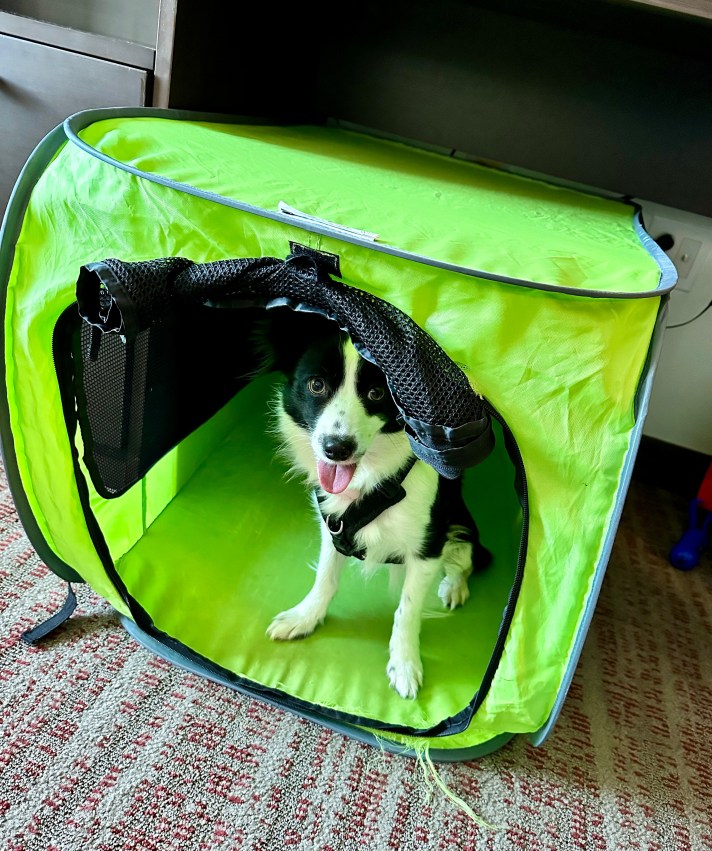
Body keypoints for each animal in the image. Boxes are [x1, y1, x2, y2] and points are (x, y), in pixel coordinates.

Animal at [263, 311, 490, 699]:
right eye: (316, 385)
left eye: (376, 393)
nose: (336, 448)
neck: (370, 481)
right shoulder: (333, 526)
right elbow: (325, 577)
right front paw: (306, 617)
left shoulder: (428, 545)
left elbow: (407, 610)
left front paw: (405, 664)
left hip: (461, 526)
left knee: (464, 561)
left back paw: (454, 587)